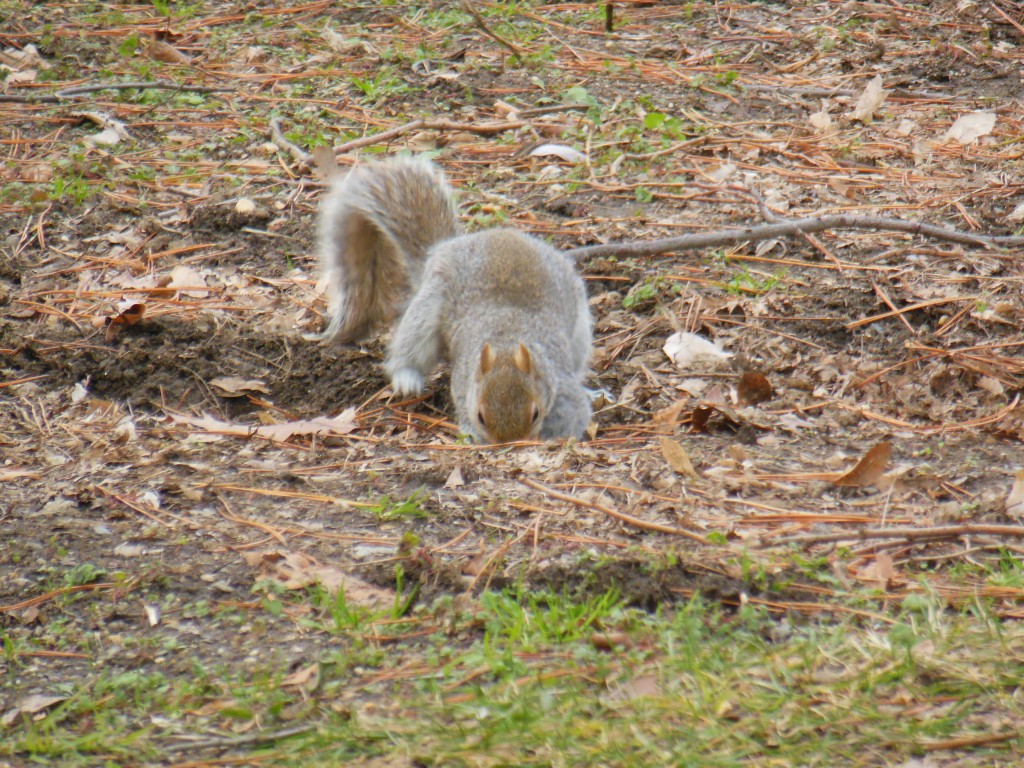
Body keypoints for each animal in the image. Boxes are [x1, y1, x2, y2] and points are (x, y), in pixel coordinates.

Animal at [313, 157, 592, 443]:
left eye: (535, 413)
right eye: (480, 416)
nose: (507, 444)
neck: (507, 339)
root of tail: (443, 248)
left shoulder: (561, 385)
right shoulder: (462, 385)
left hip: (580, 331)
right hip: (426, 311)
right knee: (409, 350)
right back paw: (406, 378)